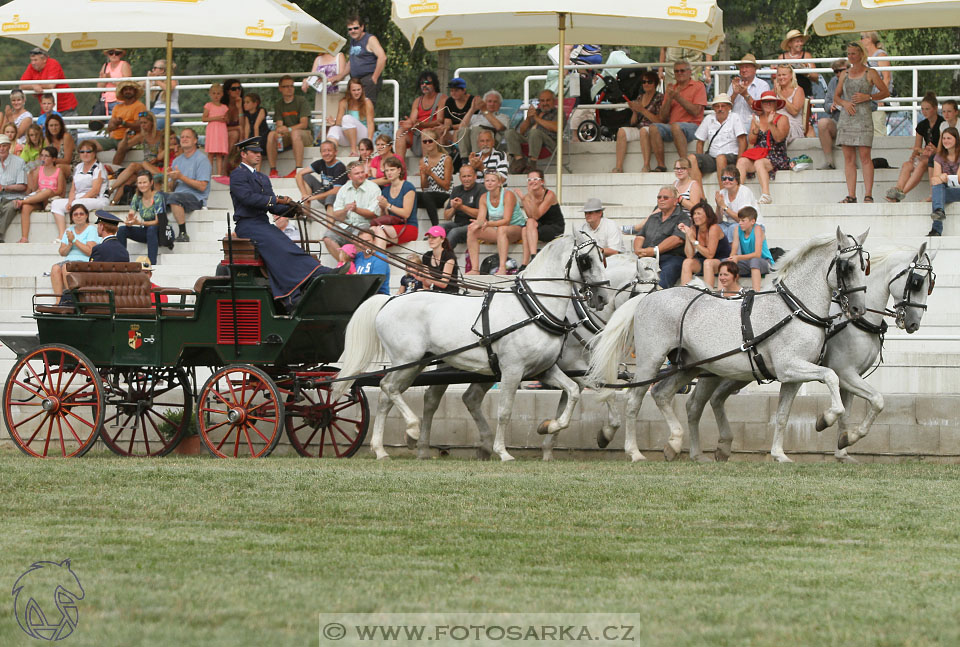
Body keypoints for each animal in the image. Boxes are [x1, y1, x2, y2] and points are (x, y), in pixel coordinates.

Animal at [334, 233, 608, 460]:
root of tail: (390, 299)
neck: (533, 308)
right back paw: (410, 430)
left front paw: (548, 426)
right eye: (587, 260)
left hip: (416, 363)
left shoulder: (543, 370)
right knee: (388, 388)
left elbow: (573, 391)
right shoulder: (513, 370)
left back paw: (383, 449)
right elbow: (505, 411)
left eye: (602, 257)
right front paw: (502, 452)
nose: (603, 297)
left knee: (387, 396)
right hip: (405, 360)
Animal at [416, 253, 664, 460]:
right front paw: (605, 434)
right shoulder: (575, 366)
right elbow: (606, 394)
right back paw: (422, 445)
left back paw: (484, 446)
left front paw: (548, 444)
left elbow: (571, 402)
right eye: (644, 298)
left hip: (487, 367)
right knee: (432, 399)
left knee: (470, 398)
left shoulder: (570, 372)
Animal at [588, 228, 872, 460]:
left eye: (864, 266)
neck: (794, 308)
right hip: (651, 361)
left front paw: (780, 455)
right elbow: (831, 376)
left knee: (662, 394)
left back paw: (675, 442)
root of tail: (648, 297)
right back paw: (634, 452)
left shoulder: (792, 377)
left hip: (689, 365)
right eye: (847, 267)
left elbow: (782, 415)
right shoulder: (789, 366)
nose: (858, 309)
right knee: (634, 401)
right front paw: (826, 419)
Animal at [688, 242, 932, 460]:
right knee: (696, 404)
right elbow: (877, 400)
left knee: (716, 399)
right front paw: (832, 427)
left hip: (741, 372)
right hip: (716, 370)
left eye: (930, 284)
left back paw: (722, 446)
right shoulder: (845, 373)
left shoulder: (852, 377)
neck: (855, 320)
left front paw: (843, 447)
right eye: (917, 282)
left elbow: (849, 413)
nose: (913, 323)